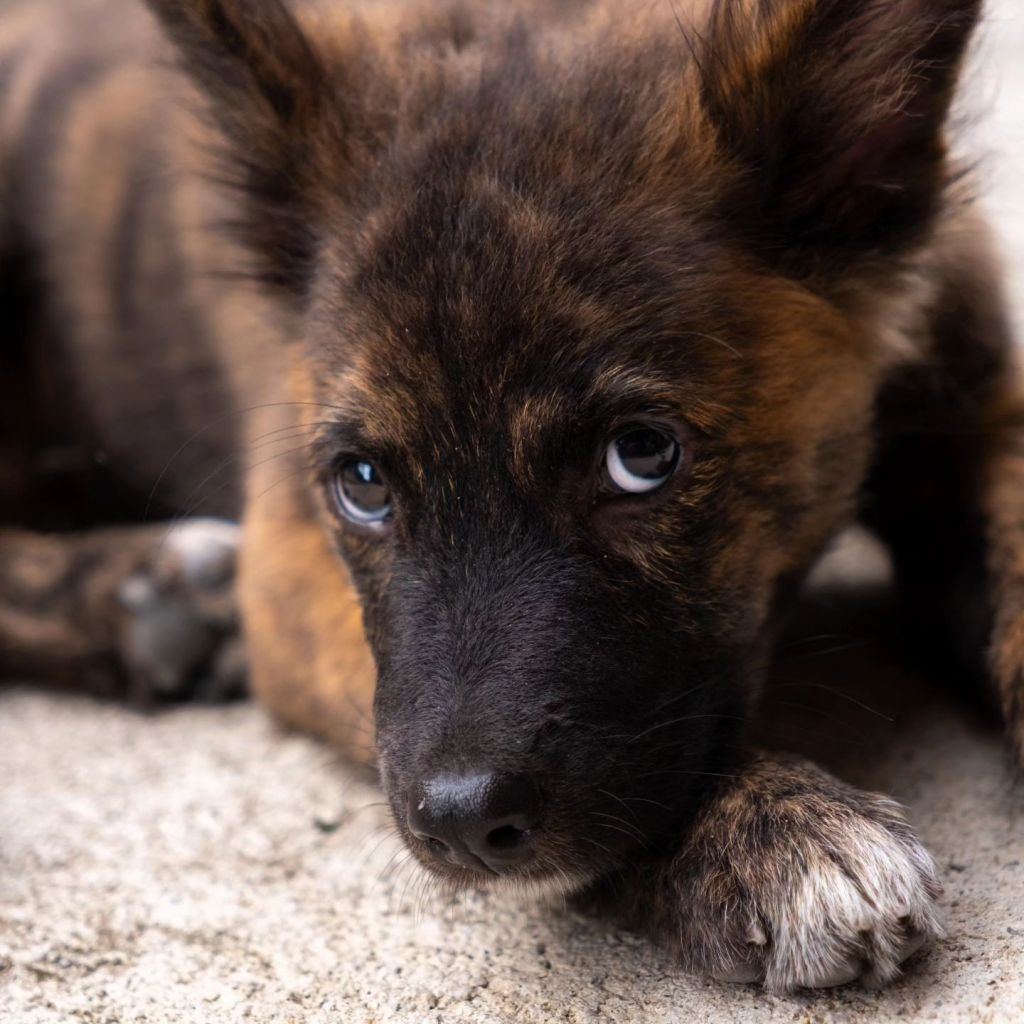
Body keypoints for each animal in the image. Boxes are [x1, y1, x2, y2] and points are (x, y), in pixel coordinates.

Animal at [1, 0, 1018, 993]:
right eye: (362, 484)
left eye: (641, 455)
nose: (459, 826)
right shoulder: (285, 566)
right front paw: (770, 829)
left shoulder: (982, 394)